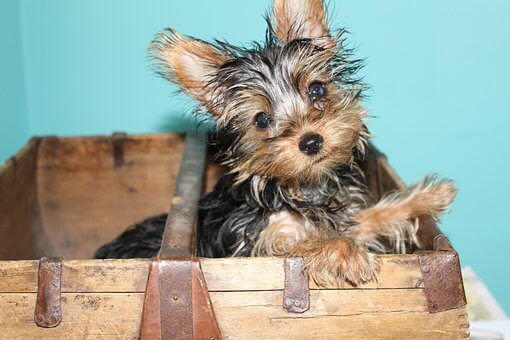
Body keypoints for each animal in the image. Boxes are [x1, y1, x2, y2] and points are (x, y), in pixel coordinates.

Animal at [93, 0, 456, 286]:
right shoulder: (257, 242)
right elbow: (304, 241)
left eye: (317, 90)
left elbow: (366, 218)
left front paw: (426, 197)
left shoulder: (343, 217)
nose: (310, 141)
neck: (303, 187)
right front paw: (346, 252)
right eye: (262, 120)